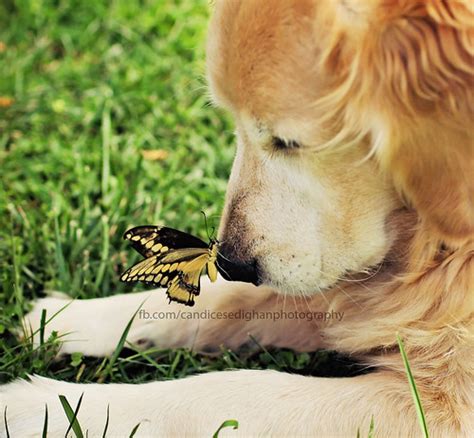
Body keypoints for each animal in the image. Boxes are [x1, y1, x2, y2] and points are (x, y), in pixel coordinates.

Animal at [1, 0, 472, 436]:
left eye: (288, 141)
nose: (231, 263)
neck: (437, 248)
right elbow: (225, 301)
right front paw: (70, 320)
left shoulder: (438, 411)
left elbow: (226, 390)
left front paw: (39, 406)